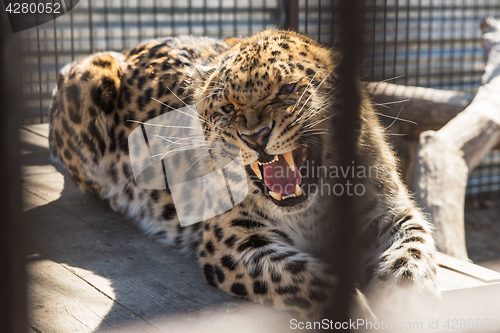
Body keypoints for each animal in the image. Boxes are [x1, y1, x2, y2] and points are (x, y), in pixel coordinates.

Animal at [47, 29, 438, 320]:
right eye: (226, 107)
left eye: (287, 90)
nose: (255, 136)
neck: (314, 207)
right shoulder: (234, 239)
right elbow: (308, 279)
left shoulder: (390, 215)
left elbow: (413, 257)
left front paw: (407, 307)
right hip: (88, 76)